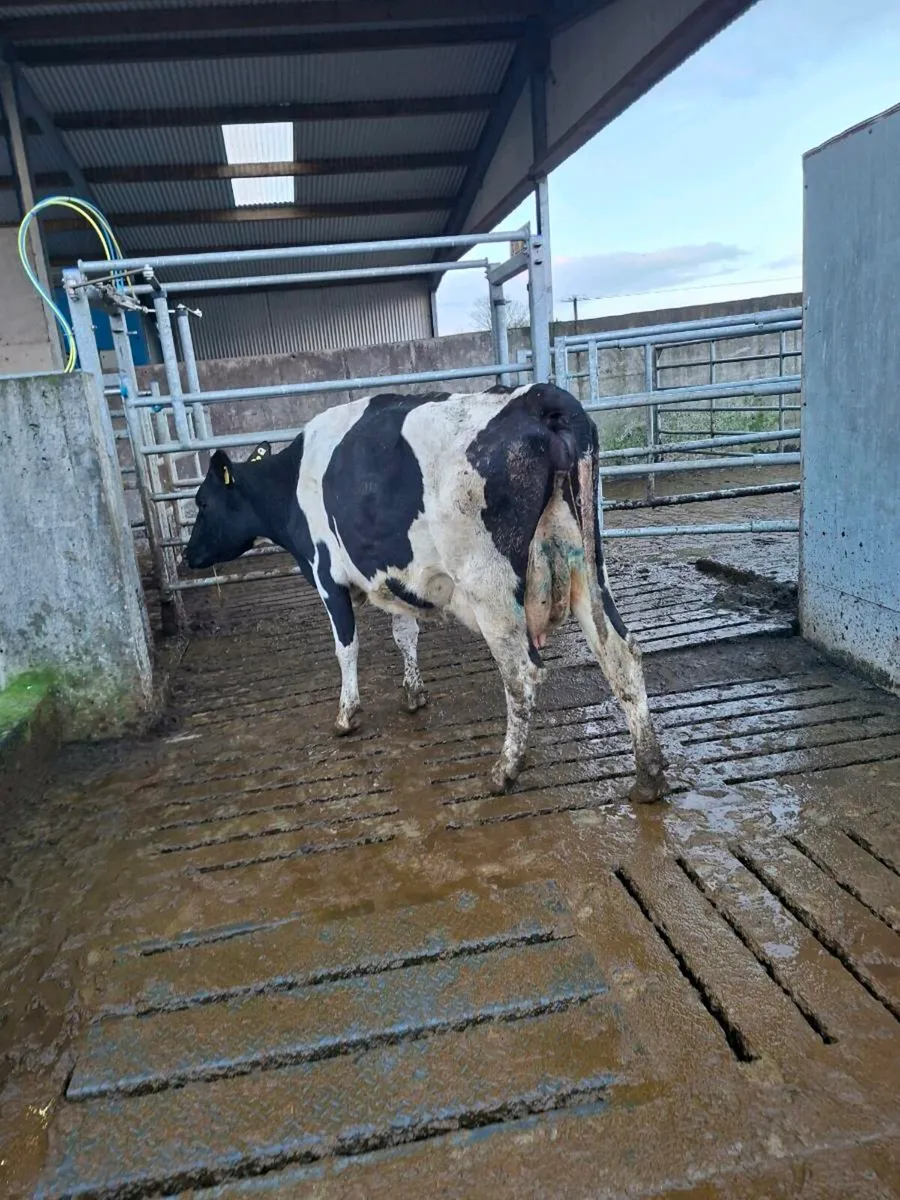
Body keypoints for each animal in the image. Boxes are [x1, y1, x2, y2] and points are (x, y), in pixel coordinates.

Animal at [184, 383, 668, 802]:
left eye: (202, 502)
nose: (187, 555)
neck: (292, 481)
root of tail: (536, 396)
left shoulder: (326, 575)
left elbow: (346, 647)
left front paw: (346, 714)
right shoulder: (394, 576)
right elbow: (405, 633)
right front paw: (413, 693)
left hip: (490, 585)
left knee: (522, 674)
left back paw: (505, 770)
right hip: (588, 563)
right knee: (620, 653)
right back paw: (648, 775)